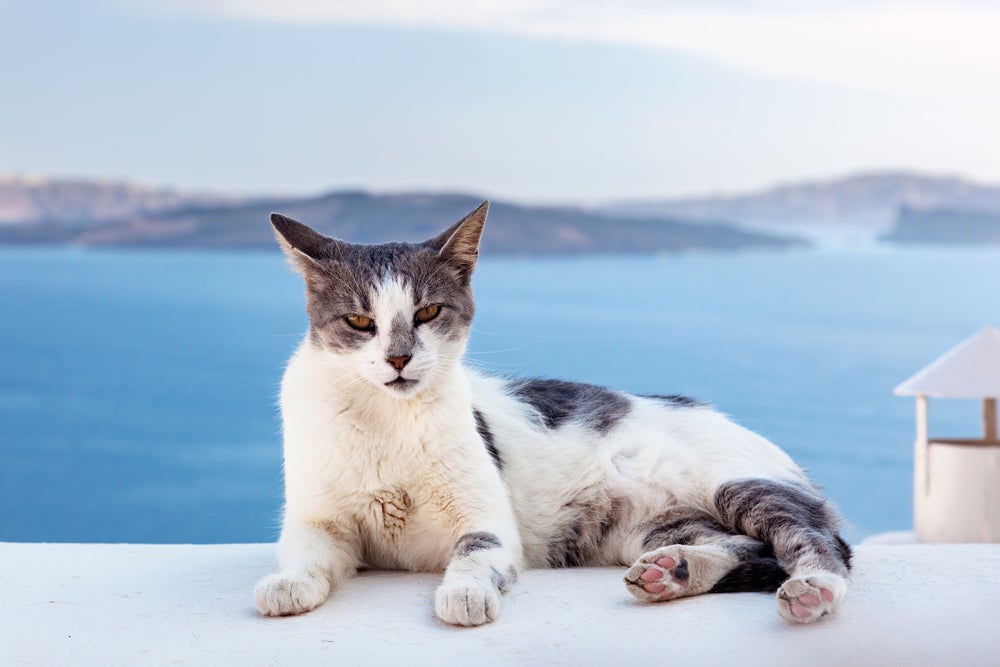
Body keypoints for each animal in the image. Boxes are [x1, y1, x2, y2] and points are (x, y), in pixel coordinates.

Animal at [254, 202, 848, 628]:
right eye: (359, 321)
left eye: (427, 312)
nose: (399, 358)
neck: (386, 419)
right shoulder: (318, 518)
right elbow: (304, 550)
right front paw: (288, 583)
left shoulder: (486, 517)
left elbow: (475, 551)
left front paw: (465, 592)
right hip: (645, 528)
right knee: (742, 545)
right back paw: (672, 572)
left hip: (741, 484)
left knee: (817, 543)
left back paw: (812, 590)